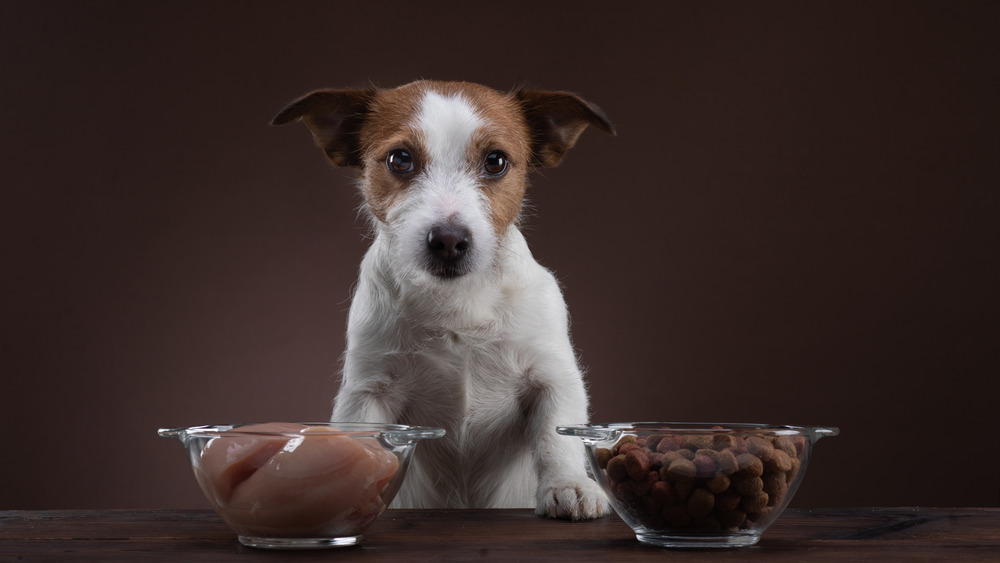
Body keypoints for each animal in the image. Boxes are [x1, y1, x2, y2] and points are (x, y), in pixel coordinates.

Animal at [276, 79, 616, 520]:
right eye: (400, 159)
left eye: (495, 161)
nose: (450, 241)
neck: (457, 303)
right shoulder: (369, 390)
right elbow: (365, 440)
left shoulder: (552, 376)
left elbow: (556, 436)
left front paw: (568, 483)